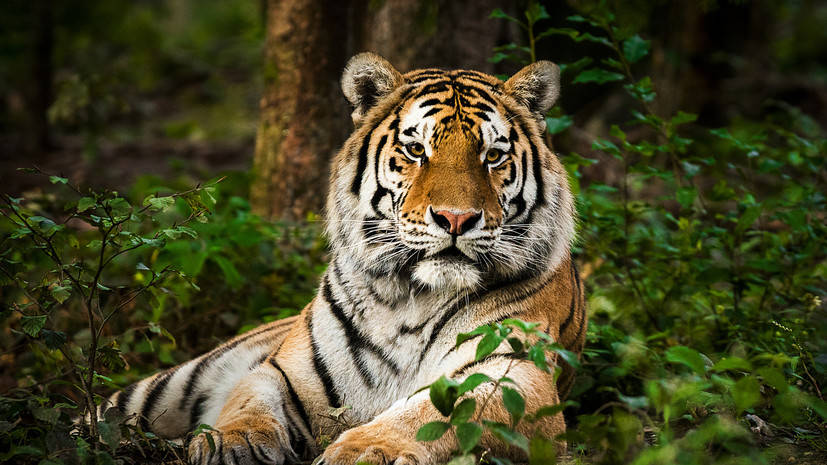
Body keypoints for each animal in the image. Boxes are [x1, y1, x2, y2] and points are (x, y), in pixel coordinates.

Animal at [100, 52, 587, 465]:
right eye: (416, 150)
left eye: (493, 156)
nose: (456, 218)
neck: (410, 298)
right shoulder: (284, 370)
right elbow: (247, 399)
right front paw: (228, 442)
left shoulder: (514, 375)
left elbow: (436, 414)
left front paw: (366, 450)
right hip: (168, 387)